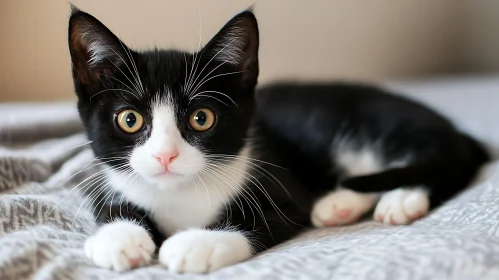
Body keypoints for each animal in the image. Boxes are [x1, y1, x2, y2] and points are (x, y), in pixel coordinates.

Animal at [68, 6, 490, 274]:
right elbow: (109, 204)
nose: (165, 157)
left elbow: (260, 223)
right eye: (130, 119)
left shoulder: (282, 190)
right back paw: (340, 205)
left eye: (201, 118)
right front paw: (119, 237)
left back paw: (400, 199)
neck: (179, 196)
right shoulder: (109, 179)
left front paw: (196, 245)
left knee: (444, 161)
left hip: (384, 131)